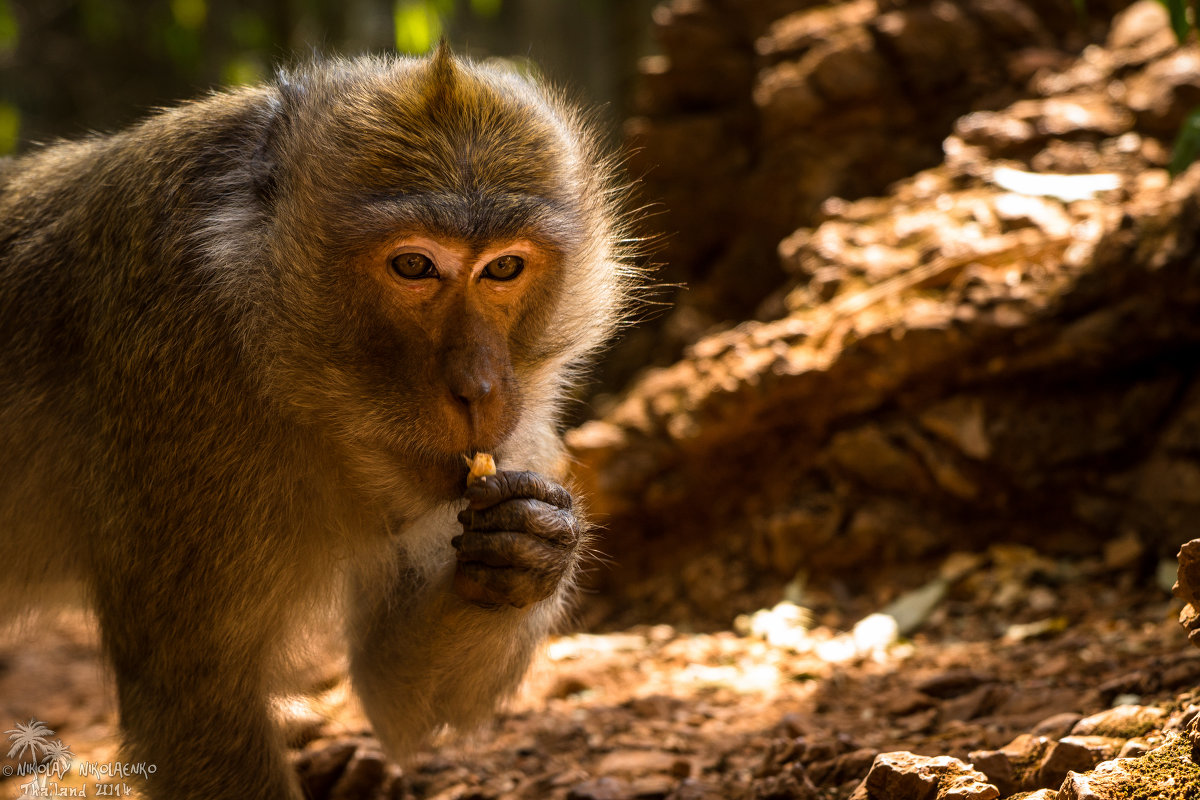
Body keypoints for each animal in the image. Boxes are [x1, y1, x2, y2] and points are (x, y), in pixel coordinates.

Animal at [0, 45, 638, 800]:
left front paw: (530, 545)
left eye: (504, 267)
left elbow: (402, 696)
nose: (478, 389)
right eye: (414, 265)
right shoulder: (173, 387)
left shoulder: (520, 430)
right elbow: (191, 690)